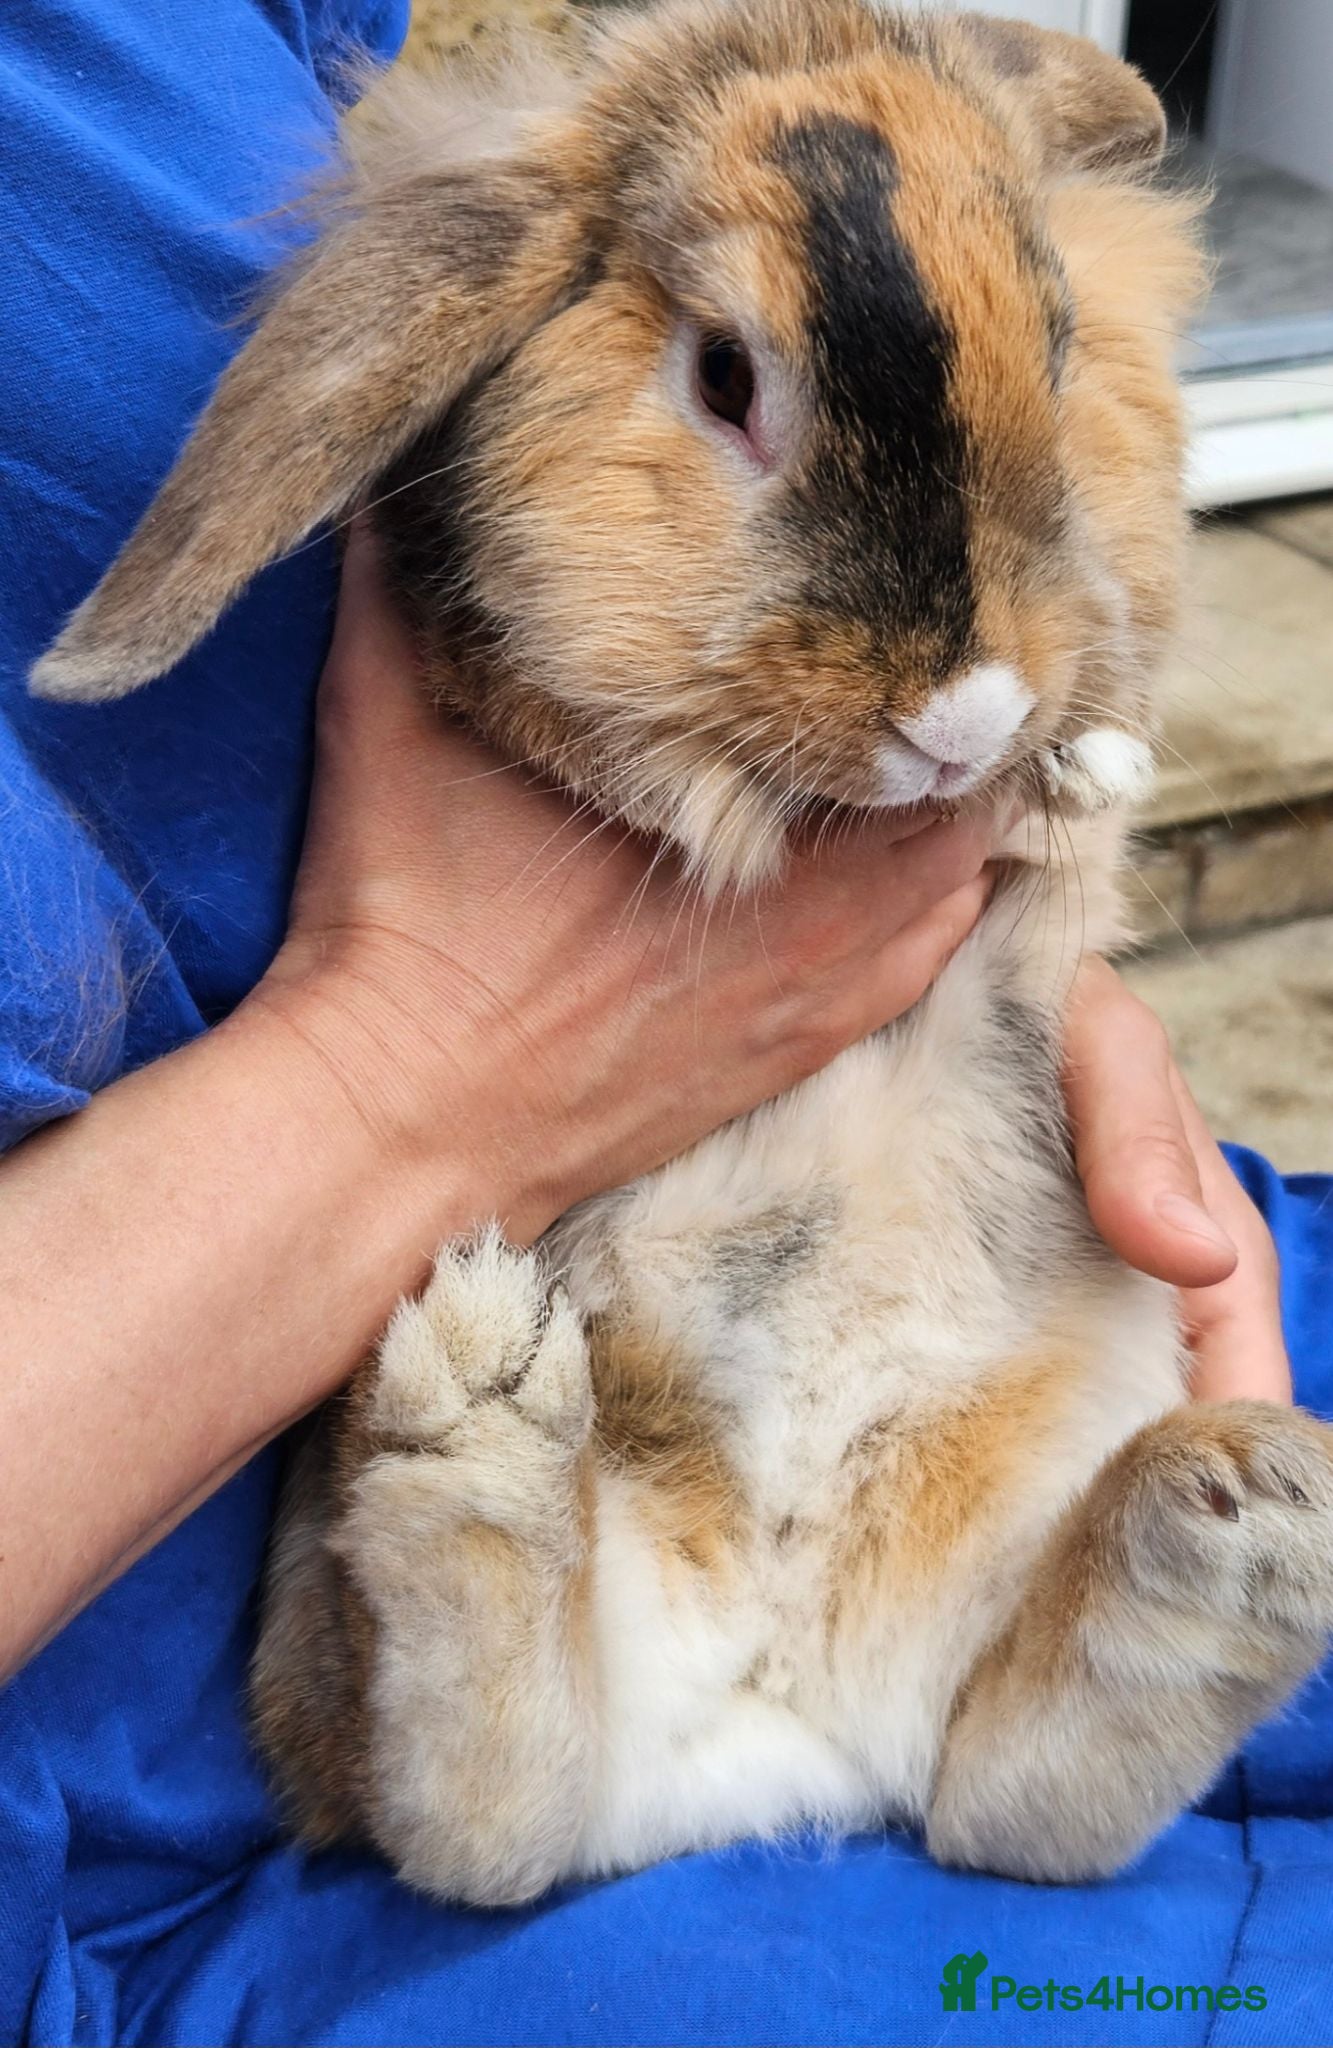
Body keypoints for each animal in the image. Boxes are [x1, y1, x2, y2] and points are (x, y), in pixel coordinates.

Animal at [33, 0, 1333, 1909]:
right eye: (724, 380)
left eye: (1058, 334)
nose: (964, 710)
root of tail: (780, 1724)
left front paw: (1075, 771)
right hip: (366, 1594)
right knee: (483, 1820)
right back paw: (485, 1408)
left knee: (1002, 1795)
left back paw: (1240, 1517)